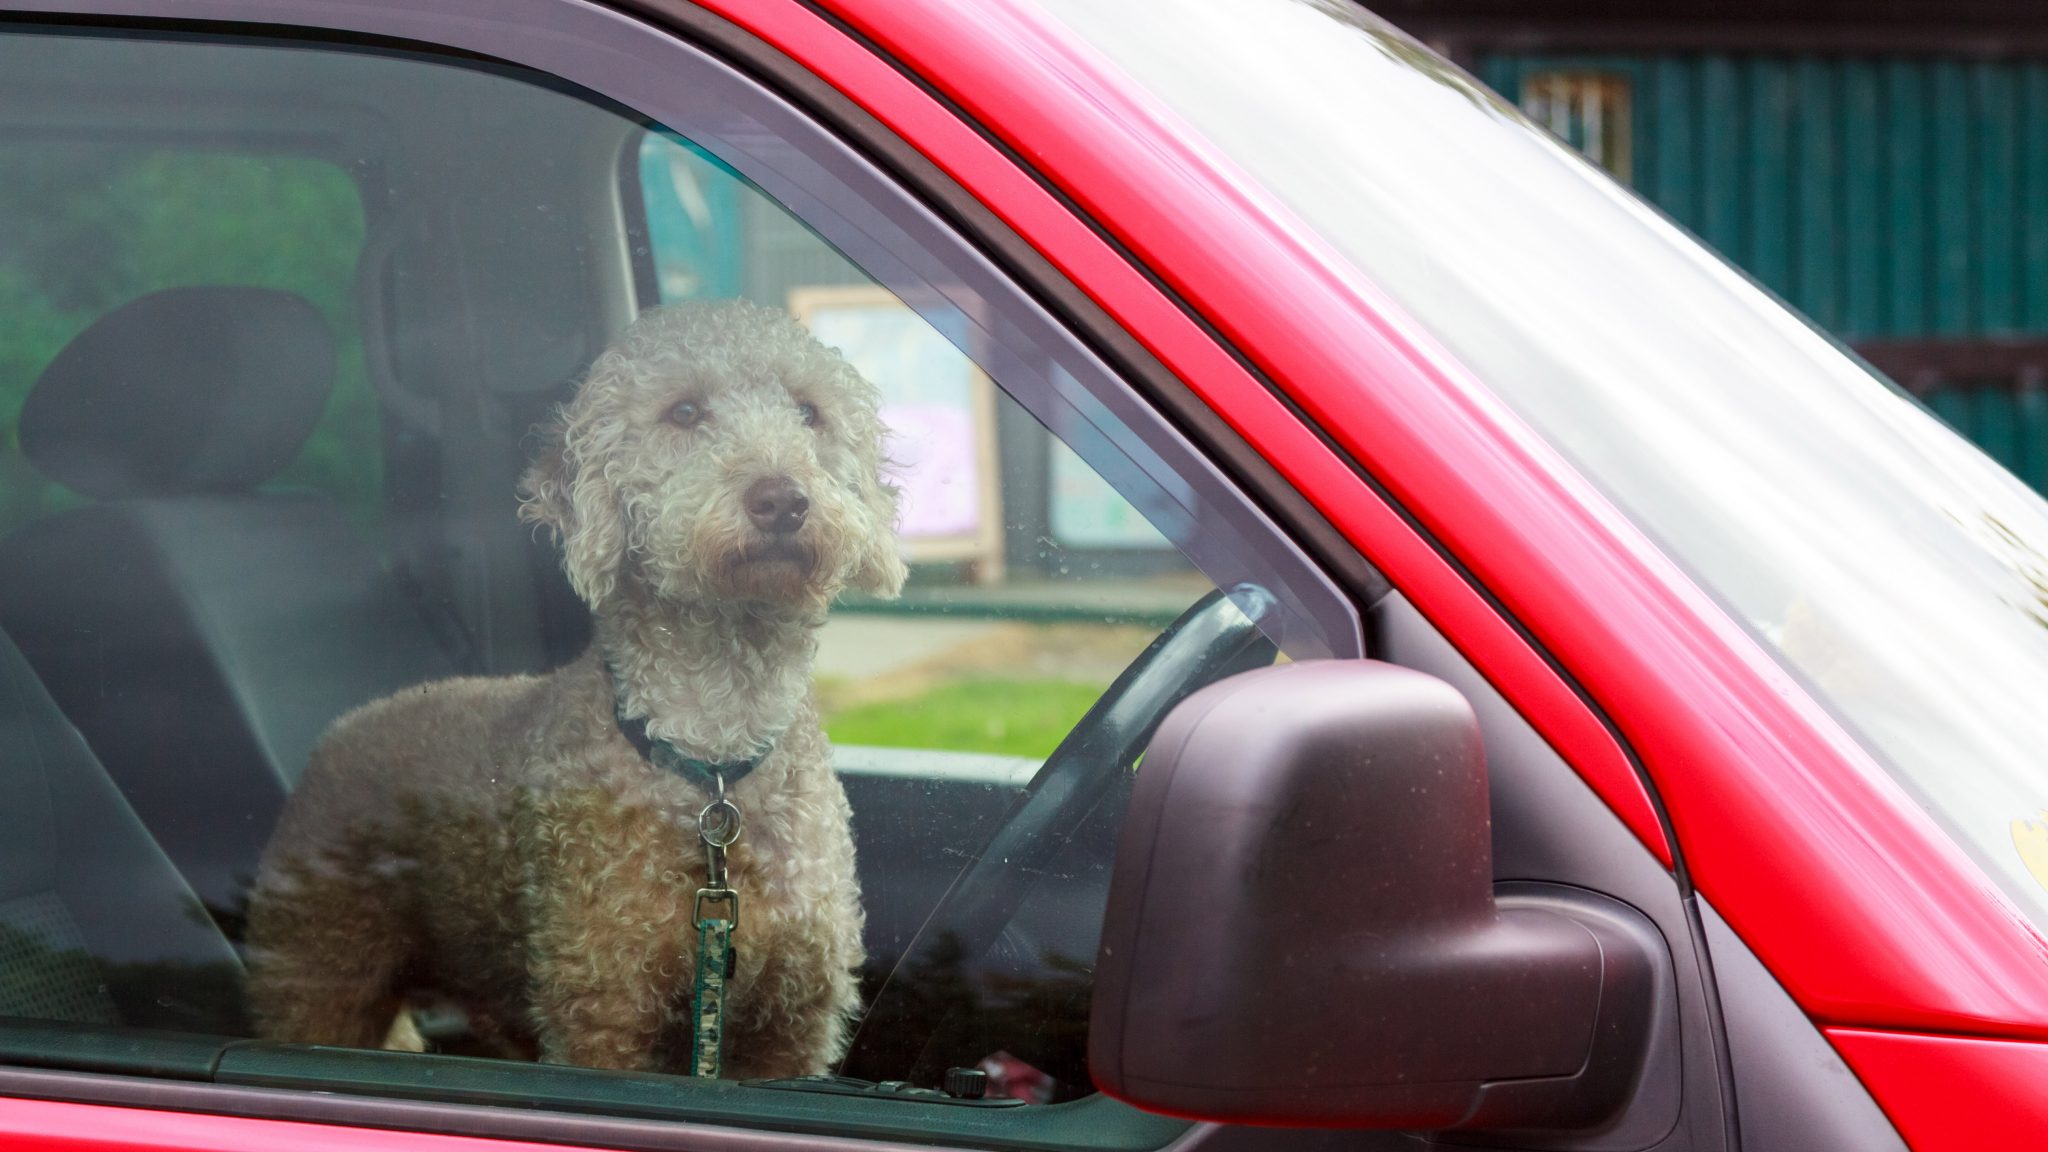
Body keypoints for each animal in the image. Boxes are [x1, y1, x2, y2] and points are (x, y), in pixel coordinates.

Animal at [245, 297, 905, 1074]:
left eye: (809, 412)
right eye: (684, 411)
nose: (782, 499)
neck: (711, 755)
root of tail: (339, 730)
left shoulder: (791, 1028)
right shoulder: (601, 1010)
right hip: (318, 971)